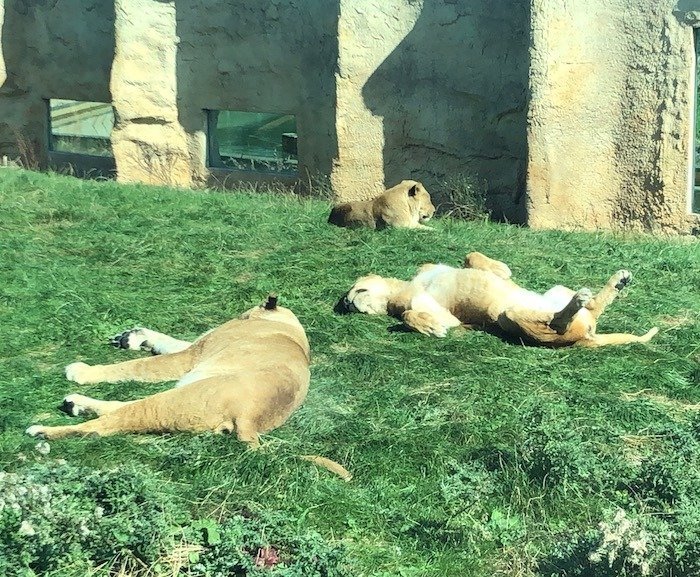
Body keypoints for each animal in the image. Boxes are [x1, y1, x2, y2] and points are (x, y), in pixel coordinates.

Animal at [26, 296, 311, 446]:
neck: (290, 328)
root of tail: (250, 419)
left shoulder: (190, 356)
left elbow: (137, 366)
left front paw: (80, 370)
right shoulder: (195, 347)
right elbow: (168, 341)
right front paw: (135, 336)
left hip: (171, 401)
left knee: (102, 426)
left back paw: (43, 430)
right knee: (117, 408)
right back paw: (74, 404)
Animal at [338, 252, 659, 347]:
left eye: (357, 290)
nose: (347, 303)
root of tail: (589, 335)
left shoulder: (430, 268)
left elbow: (474, 258)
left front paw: (497, 267)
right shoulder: (445, 314)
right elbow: (409, 315)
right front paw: (431, 328)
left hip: (555, 291)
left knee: (593, 307)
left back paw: (618, 281)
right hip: (505, 315)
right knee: (557, 325)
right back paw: (578, 303)